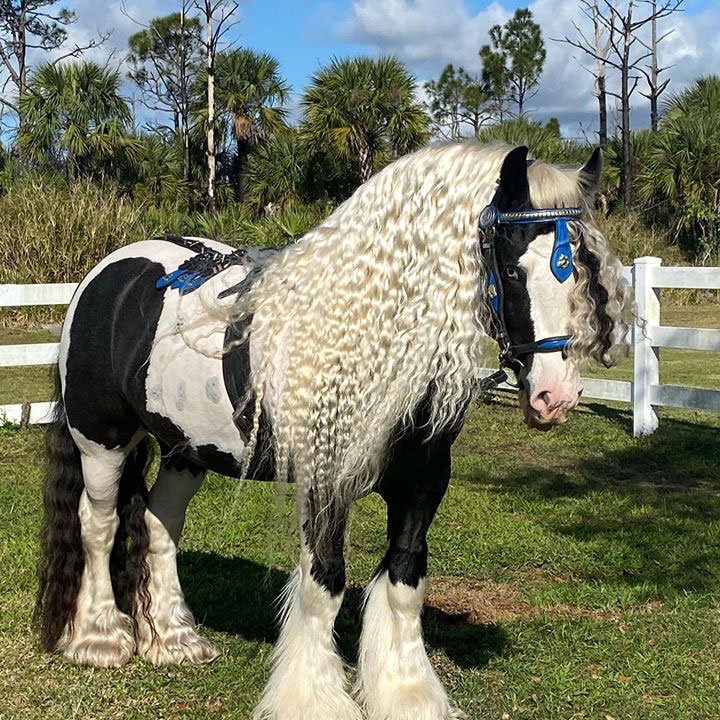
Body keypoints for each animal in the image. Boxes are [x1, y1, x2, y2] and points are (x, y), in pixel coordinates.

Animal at [36, 142, 628, 720]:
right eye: (511, 269)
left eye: (583, 268)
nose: (555, 396)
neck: (366, 335)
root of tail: (106, 274)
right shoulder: (324, 485)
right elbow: (325, 583)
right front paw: (314, 699)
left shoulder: (422, 483)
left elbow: (405, 582)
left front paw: (408, 696)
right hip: (102, 440)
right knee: (99, 525)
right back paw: (100, 639)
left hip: (186, 449)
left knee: (160, 522)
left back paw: (173, 639)